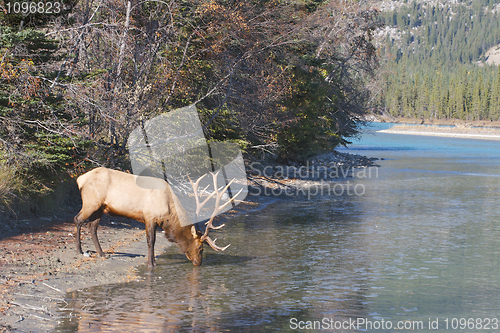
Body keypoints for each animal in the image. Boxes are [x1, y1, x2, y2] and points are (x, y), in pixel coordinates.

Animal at [72, 167, 240, 266]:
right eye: (200, 247)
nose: (198, 263)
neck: (169, 212)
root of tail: (79, 179)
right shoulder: (150, 217)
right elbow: (150, 241)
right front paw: (151, 263)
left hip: (101, 207)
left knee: (92, 226)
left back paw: (102, 253)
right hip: (90, 202)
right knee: (78, 219)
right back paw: (79, 250)